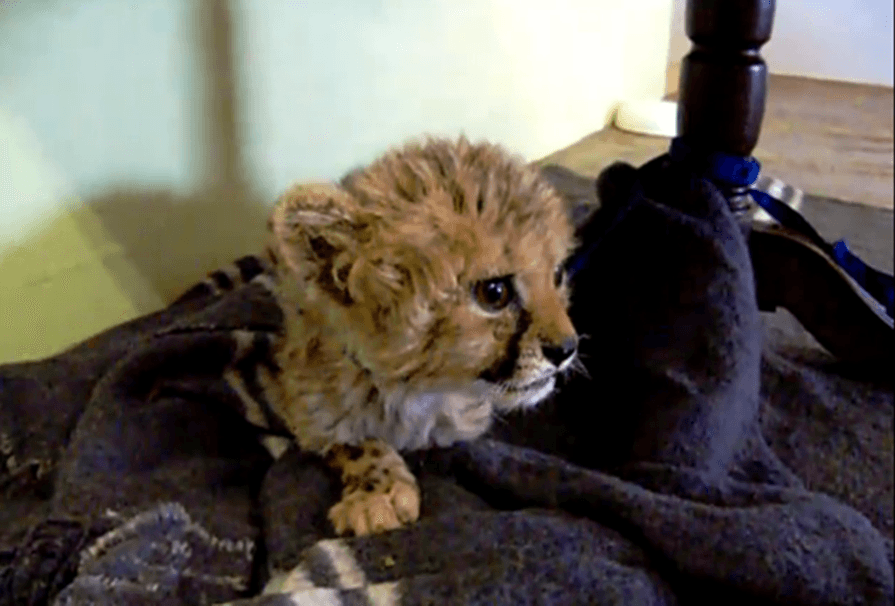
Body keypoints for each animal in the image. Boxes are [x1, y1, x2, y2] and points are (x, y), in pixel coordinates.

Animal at [260, 135, 579, 536]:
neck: (420, 390)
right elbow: (349, 439)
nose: (567, 348)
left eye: (557, 275)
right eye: (494, 292)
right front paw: (378, 493)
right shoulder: (299, 396)